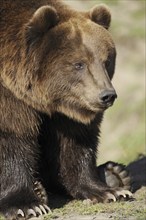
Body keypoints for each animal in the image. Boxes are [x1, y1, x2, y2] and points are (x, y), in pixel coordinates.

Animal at [0, 0, 132, 219]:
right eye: (79, 64)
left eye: (106, 60)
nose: (107, 95)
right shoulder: (10, 98)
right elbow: (12, 136)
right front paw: (26, 205)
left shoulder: (68, 110)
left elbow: (74, 141)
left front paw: (108, 191)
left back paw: (115, 173)